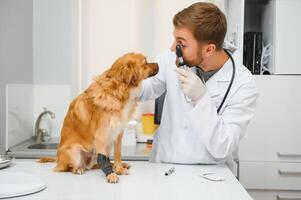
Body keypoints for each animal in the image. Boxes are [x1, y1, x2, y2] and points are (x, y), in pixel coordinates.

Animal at [38, 52, 158, 183]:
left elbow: (117, 154)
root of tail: (58, 160)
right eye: (145, 62)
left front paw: (119, 168)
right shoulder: (101, 135)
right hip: (74, 150)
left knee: (95, 164)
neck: (117, 92)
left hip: (106, 146)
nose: (158, 64)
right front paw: (111, 174)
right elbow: (104, 160)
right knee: (67, 167)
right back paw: (78, 169)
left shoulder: (118, 133)